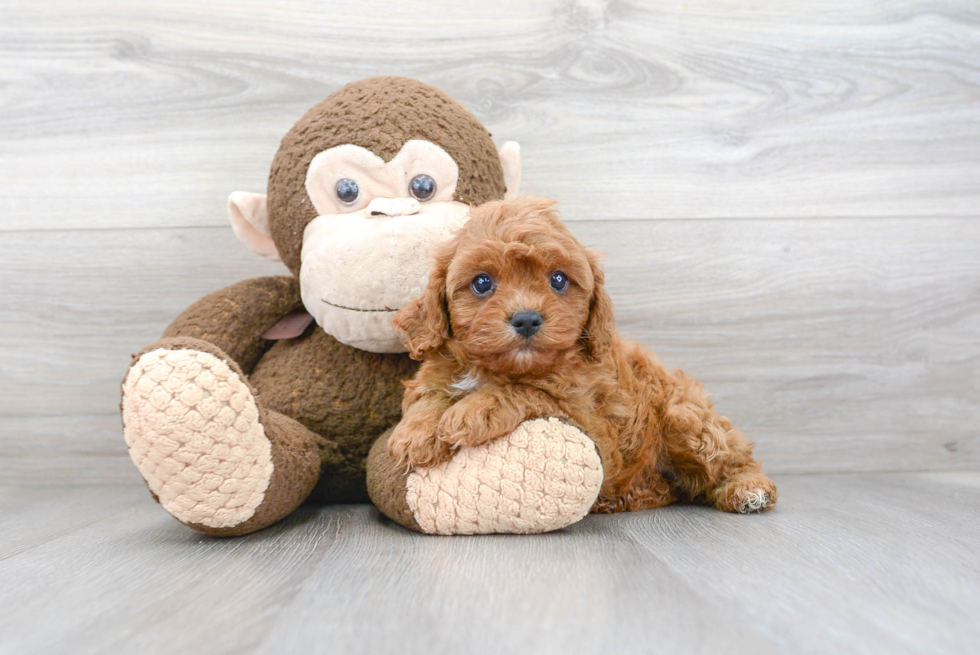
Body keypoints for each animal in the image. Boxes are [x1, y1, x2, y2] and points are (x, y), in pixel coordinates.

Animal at [386, 197, 776, 516]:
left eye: (558, 280)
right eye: (482, 283)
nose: (526, 319)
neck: (501, 368)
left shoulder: (592, 422)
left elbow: (531, 391)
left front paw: (475, 409)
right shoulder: (435, 372)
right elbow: (429, 395)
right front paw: (416, 433)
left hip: (686, 419)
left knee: (732, 458)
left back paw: (748, 490)